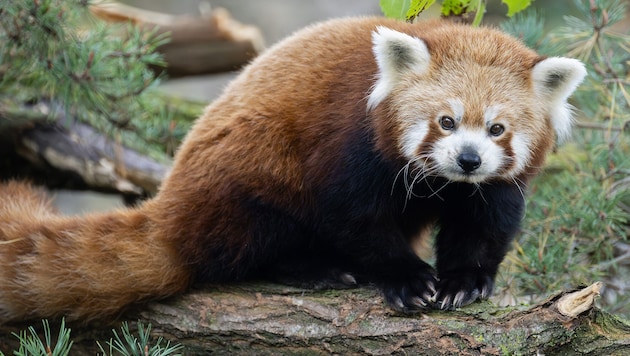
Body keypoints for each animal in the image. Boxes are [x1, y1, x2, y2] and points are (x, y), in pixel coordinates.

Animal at [0, 16, 588, 322]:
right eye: (446, 121)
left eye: (496, 129)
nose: (467, 159)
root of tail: (172, 210)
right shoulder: (348, 146)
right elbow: (355, 218)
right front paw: (406, 278)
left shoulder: (492, 187)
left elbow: (484, 224)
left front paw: (464, 282)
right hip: (248, 171)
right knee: (254, 237)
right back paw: (314, 267)